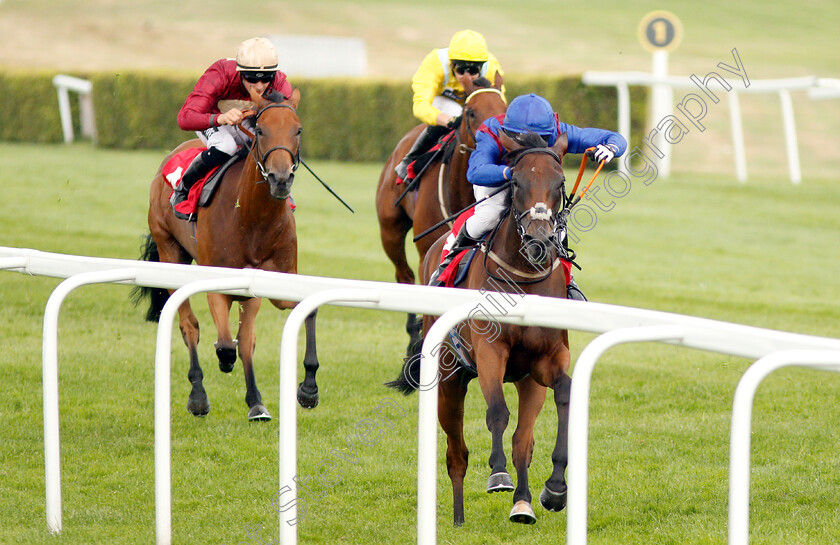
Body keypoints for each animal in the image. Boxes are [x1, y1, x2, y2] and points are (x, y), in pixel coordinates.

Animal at [136, 86, 324, 420]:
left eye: (298, 130)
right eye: (260, 130)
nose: (280, 179)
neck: (252, 218)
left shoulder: (273, 279)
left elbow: (302, 311)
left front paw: (307, 389)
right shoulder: (217, 281)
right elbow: (224, 342)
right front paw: (223, 364)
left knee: (245, 339)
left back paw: (255, 402)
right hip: (170, 249)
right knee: (190, 326)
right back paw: (198, 396)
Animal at [390, 131, 576, 524]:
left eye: (560, 182)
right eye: (516, 182)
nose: (539, 242)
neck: (525, 281)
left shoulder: (546, 360)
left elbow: (563, 395)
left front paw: (554, 489)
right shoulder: (490, 352)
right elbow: (497, 412)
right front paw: (498, 474)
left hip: (526, 381)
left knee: (523, 441)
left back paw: (522, 504)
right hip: (449, 380)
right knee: (456, 453)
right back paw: (459, 517)